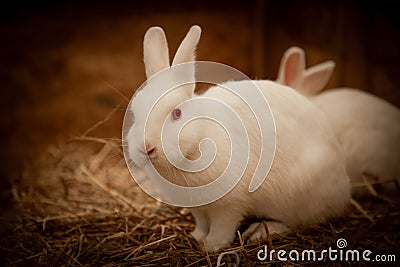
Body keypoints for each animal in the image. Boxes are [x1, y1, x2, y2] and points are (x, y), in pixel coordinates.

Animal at [123, 25, 348, 253]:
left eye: (177, 113)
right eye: (135, 113)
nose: (146, 148)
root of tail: (343, 194)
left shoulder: (229, 205)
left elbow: (223, 226)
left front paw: (212, 246)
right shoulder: (198, 209)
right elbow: (202, 223)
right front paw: (196, 237)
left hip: (295, 198)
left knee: (295, 222)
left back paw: (259, 231)